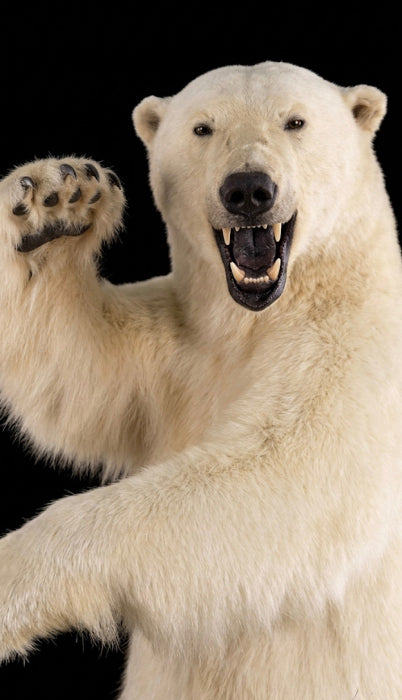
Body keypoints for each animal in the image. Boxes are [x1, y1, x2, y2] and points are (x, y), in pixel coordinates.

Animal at [0, 60, 401, 699]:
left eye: (295, 121)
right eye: (202, 128)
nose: (248, 190)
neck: (259, 316)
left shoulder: (360, 347)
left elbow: (287, 471)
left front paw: (14, 575)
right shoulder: (175, 353)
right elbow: (77, 372)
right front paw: (54, 203)